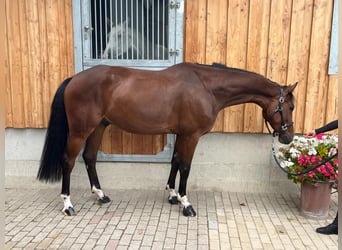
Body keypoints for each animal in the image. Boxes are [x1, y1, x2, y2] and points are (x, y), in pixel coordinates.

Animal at [37, 62, 296, 217]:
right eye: (291, 106)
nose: (288, 137)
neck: (206, 87)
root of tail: (74, 79)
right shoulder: (191, 136)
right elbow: (186, 167)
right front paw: (186, 204)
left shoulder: (181, 134)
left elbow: (175, 162)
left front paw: (172, 196)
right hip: (81, 130)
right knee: (69, 161)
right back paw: (68, 205)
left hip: (99, 126)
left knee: (90, 157)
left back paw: (102, 195)